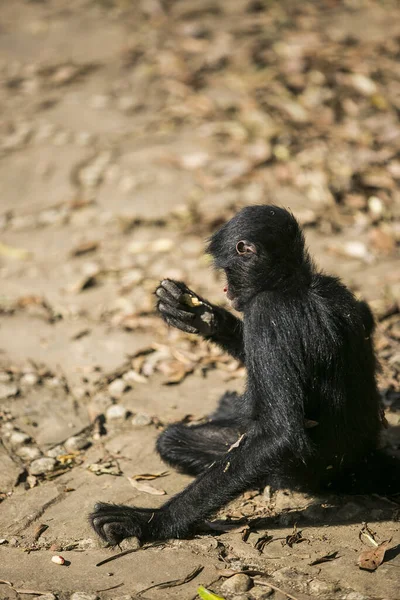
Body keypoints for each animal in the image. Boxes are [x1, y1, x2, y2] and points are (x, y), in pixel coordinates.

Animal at [90, 205, 400, 544]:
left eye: (227, 271)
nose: (226, 290)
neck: (295, 284)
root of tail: (362, 460)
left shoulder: (267, 312)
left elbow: (279, 437)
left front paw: (150, 522)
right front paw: (205, 318)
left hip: (296, 473)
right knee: (172, 441)